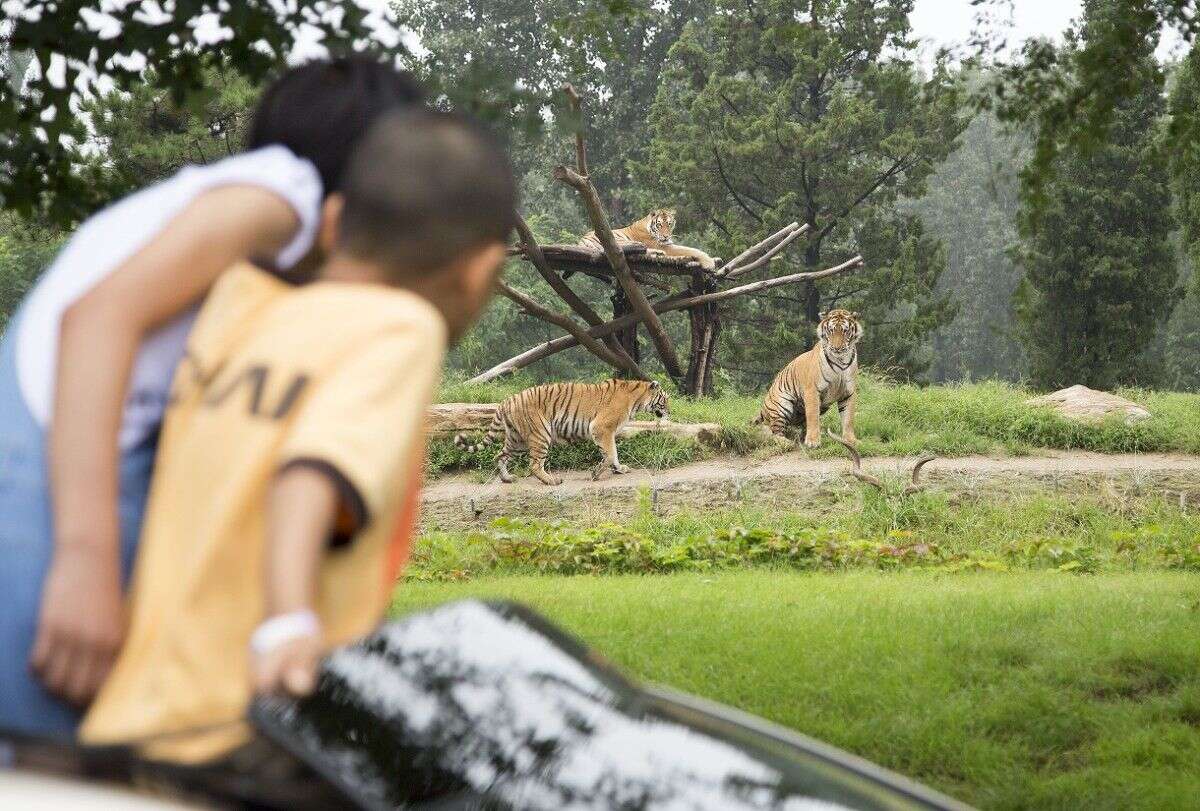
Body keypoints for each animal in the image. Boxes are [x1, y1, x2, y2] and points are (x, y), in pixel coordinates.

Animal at [451, 381, 672, 487]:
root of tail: (507, 401)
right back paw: (552, 481)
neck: (637, 399)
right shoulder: (601, 428)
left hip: (517, 440)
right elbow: (610, 454)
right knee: (534, 465)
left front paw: (620, 469)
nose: (670, 411)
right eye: (665, 399)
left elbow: (613, 454)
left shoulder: (607, 432)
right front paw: (596, 473)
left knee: (500, 455)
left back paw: (507, 479)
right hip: (541, 434)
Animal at [578, 207, 715, 271]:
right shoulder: (663, 245)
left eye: (669, 224)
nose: (666, 236)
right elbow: (691, 250)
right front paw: (709, 262)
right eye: (659, 225)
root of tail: (580, 241)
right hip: (616, 240)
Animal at [748, 309, 864, 448]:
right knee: (774, 432)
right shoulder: (812, 390)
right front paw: (813, 442)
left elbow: (848, 418)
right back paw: (788, 442)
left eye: (845, 331)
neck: (840, 359)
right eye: (831, 331)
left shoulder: (848, 392)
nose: (836, 348)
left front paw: (851, 441)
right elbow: (813, 416)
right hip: (782, 404)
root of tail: (763, 407)